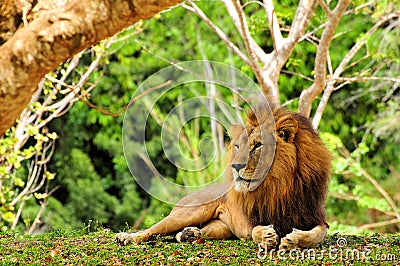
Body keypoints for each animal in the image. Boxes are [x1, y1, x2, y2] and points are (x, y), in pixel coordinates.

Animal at [115, 104, 332, 249]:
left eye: (258, 145)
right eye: (237, 146)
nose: (235, 166)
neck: (279, 187)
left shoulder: (315, 217)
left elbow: (316, 235)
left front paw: (292, 240)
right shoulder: (248, 221)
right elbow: (255, 230)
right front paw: (266, 236)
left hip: (220, 229)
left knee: (184, 234)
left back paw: (188, 235)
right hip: (189, 212)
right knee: (153, 229)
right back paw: (127, 237)